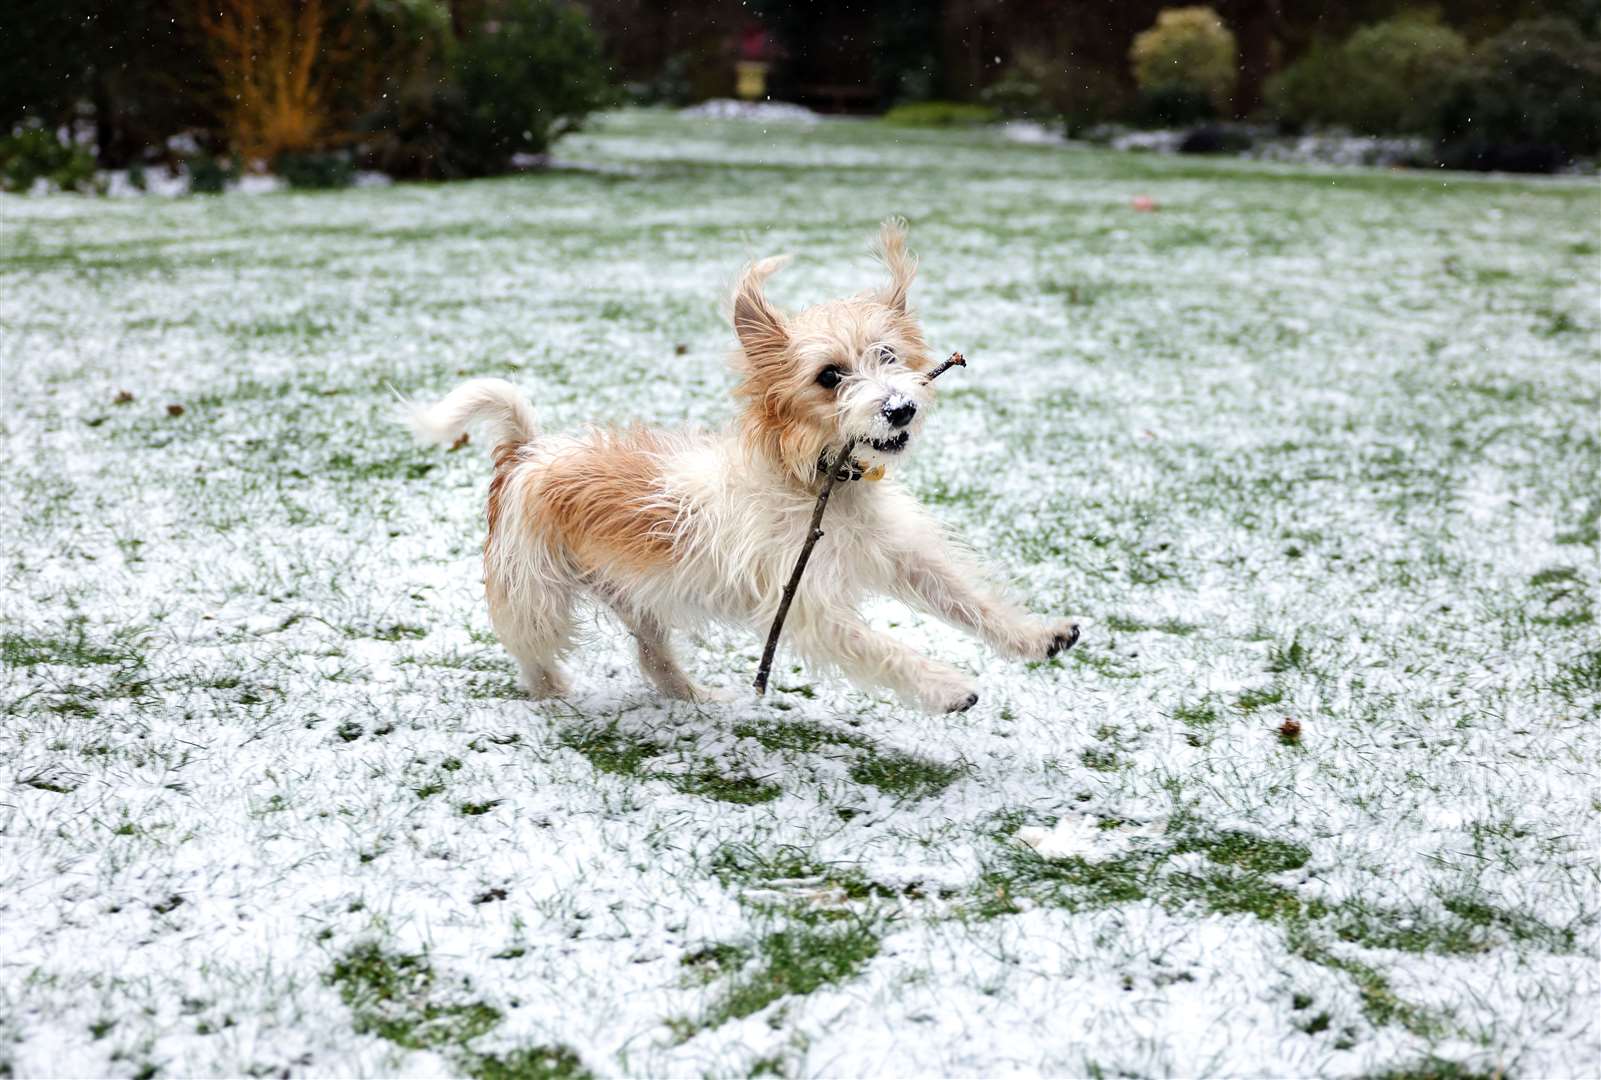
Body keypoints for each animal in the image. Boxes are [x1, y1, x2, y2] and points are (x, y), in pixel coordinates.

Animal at [416, 216, 1075, 713]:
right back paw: (554, 694)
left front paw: (1036, 635)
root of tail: (527, 451)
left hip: (636, 596)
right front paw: (944, 686)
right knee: (532, 650)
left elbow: (967, 596)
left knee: (652, 656)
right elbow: (880, 647)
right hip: (537, 593)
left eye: (887, 355)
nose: (900, 408)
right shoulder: (806, 604)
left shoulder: (902, 555)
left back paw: (690, 696)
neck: (816, 482)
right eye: (830, 376)